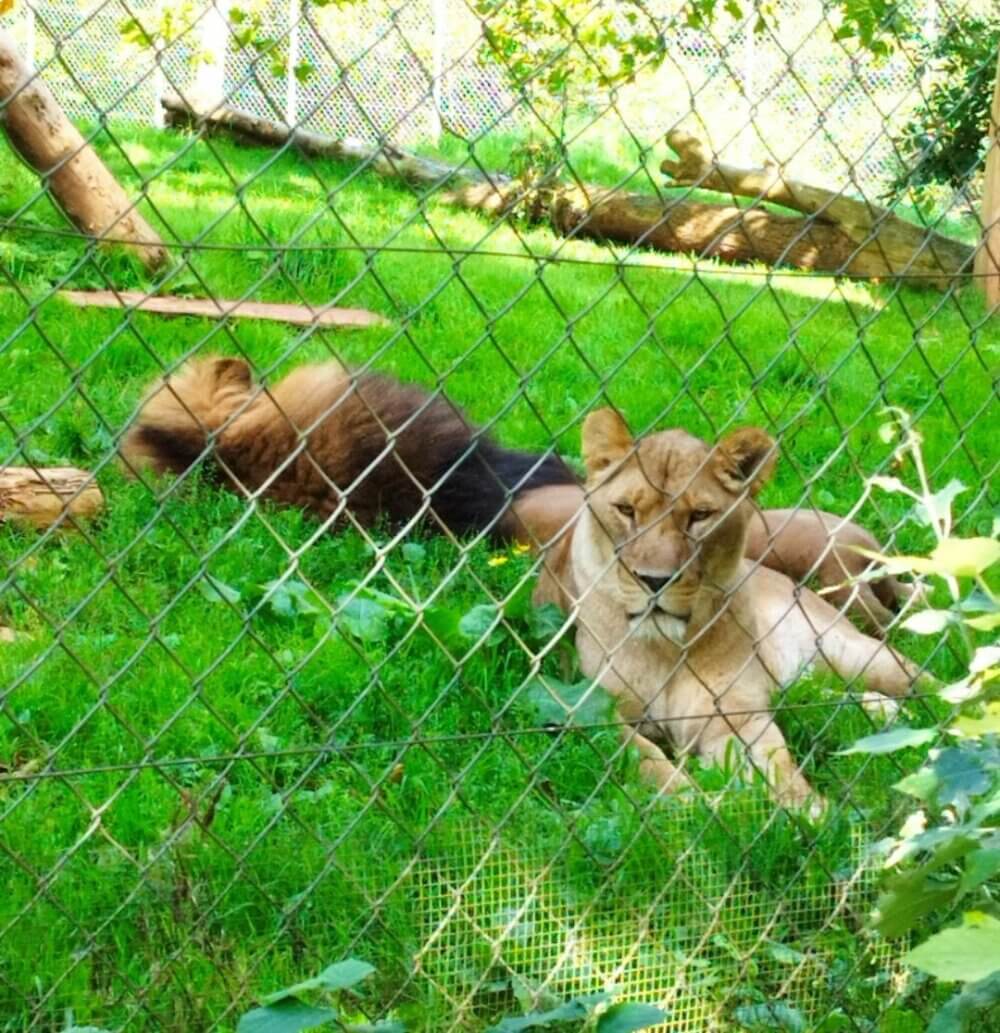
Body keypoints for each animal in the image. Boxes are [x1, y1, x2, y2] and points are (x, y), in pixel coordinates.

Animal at [521, 410, 925, 811]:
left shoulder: (732, 714)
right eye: (625, 510)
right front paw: (691, 804)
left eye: (700, 515)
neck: (665, 649)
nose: (654, 581)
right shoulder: (592, 710)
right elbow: (647, 760)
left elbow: (777, 767)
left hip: (854, 651)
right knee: (815, 696)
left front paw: (812, 813)